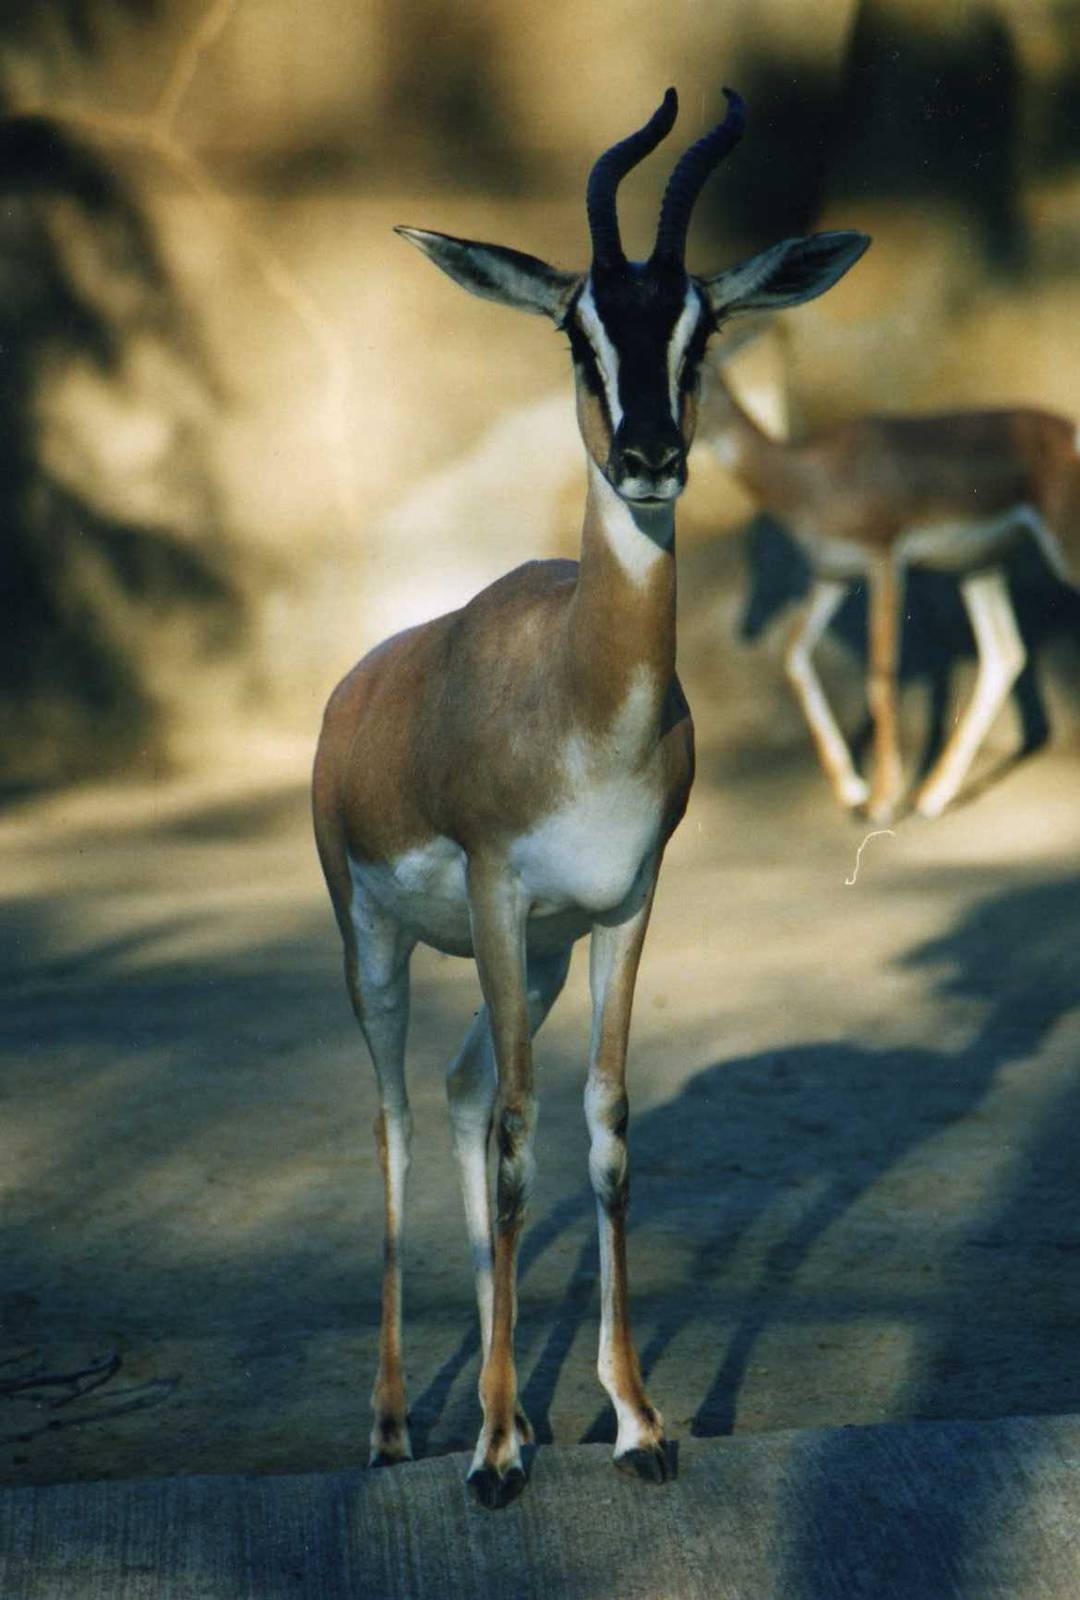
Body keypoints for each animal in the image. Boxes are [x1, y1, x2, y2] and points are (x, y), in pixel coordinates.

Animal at [312, 87, 868, 1509]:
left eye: (700, 324)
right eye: (577, 326)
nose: (650, 455)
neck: (583, 688)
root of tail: (355, 689)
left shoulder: (623, 906)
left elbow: (604, 1135)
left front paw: (634, 1423)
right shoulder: (501, 890)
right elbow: (519, 1144)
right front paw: (496, 1457)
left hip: (544, 958)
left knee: (463, 1093)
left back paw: (509, 1407)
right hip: (383, 944)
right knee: (405, 1119)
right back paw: (400, 1428)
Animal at [699, 363, 1080, 820]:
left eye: (692, 376)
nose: (655, 458)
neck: (815, 476)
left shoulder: (884, 560)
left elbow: (881, 675)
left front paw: (880, 800)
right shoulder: (832, 576)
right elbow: (793, 657)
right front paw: (852, 791)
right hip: (977, 568)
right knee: (1005, 654)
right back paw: (931, 796)